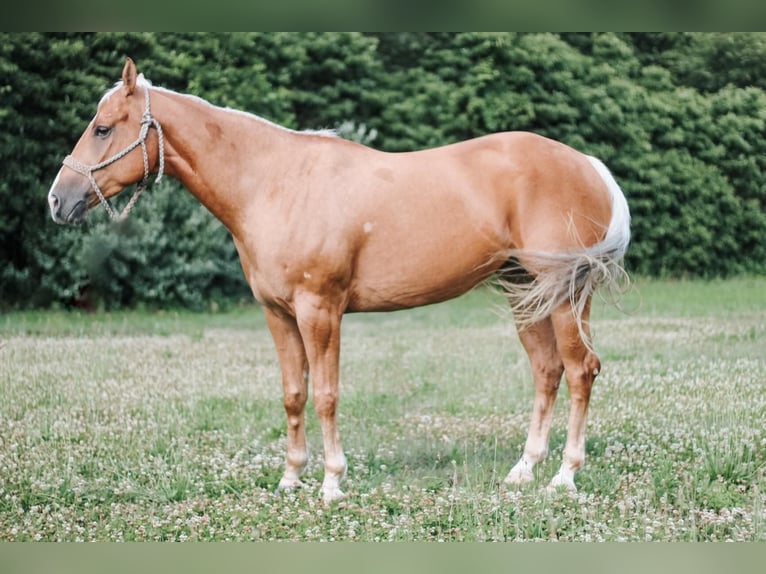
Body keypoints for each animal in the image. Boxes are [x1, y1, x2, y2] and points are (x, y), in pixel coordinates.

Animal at [48, 58, 630, 503]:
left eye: (103, 128)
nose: (58, 200)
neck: (274, 183)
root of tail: (589, 165)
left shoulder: (319, 311)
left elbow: (326, 394)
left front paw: (331, 483)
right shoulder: (278, 315)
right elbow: (293, 394)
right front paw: (290, 479)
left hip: (567, 297)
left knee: (581, 371)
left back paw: (564, 477)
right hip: (525, 293)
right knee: (547, 371)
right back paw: (523, 470)